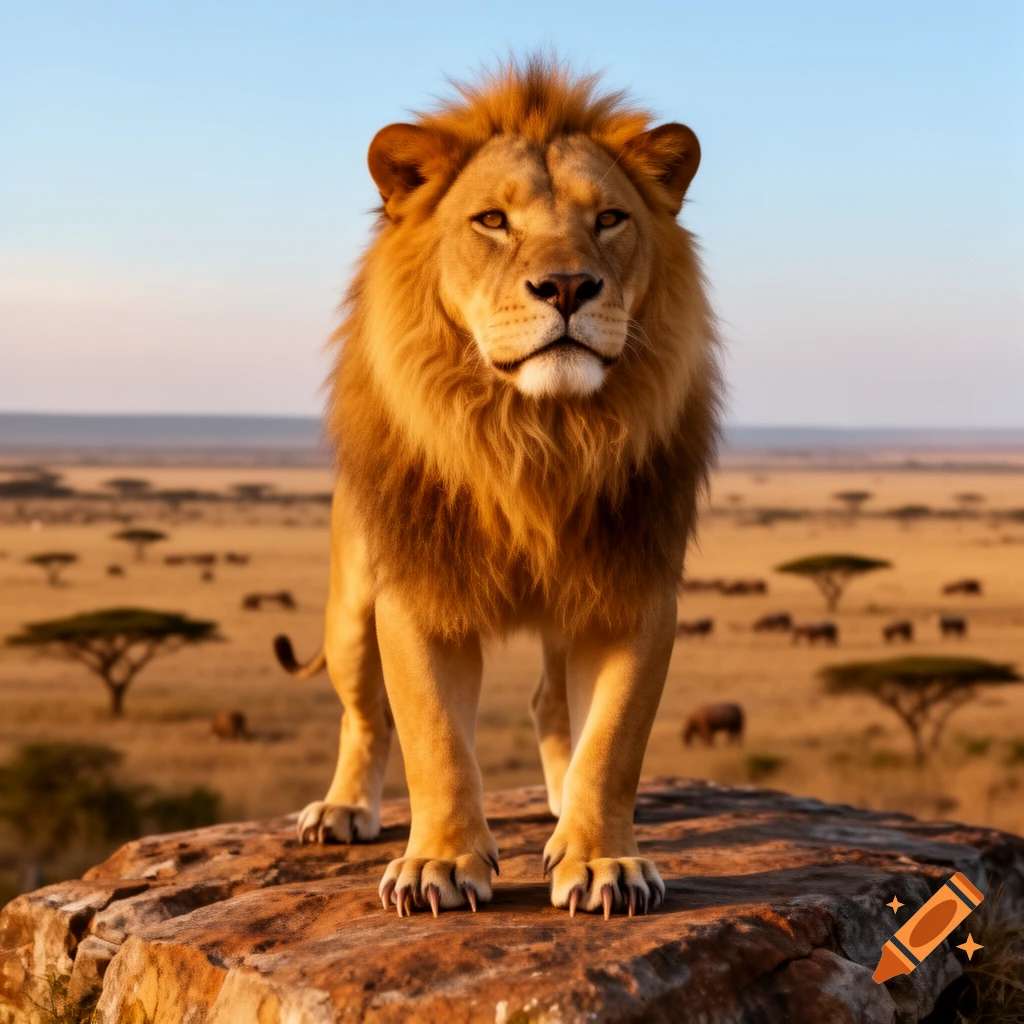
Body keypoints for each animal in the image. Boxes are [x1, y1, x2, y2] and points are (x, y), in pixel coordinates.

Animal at [275, 57, 721, 919]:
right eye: (491, 221)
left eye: (609, 218)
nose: (569, 286)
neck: (537, 435)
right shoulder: (416, 591)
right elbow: (433, 737)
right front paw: (440, 864)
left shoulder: (633, 589)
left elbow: (611, 741)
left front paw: (603, 861)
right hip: (350, 609)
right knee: (363, 715)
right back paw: (343, 810)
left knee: (553, 706)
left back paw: (560, 800)